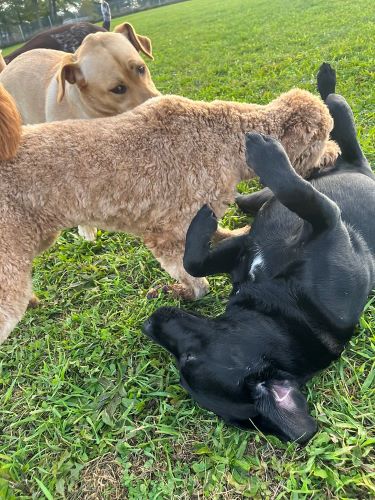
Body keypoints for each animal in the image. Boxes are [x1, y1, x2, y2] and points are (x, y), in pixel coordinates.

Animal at [0, 86, 338, 344]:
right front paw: (181, 293)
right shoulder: (167, 235)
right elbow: (197, 281)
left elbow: (219, 234)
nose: (335, 153)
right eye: (323, 137)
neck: (227, 137)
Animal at [142, 64, 374, 444]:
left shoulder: (323, 221)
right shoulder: (257, 245)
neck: (281, 305)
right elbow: (195, 261)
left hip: (340, 172)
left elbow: (296, 193)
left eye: (188, 358)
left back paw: (326, 86)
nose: (149, 324)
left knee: (338, 128)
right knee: (334, 136)